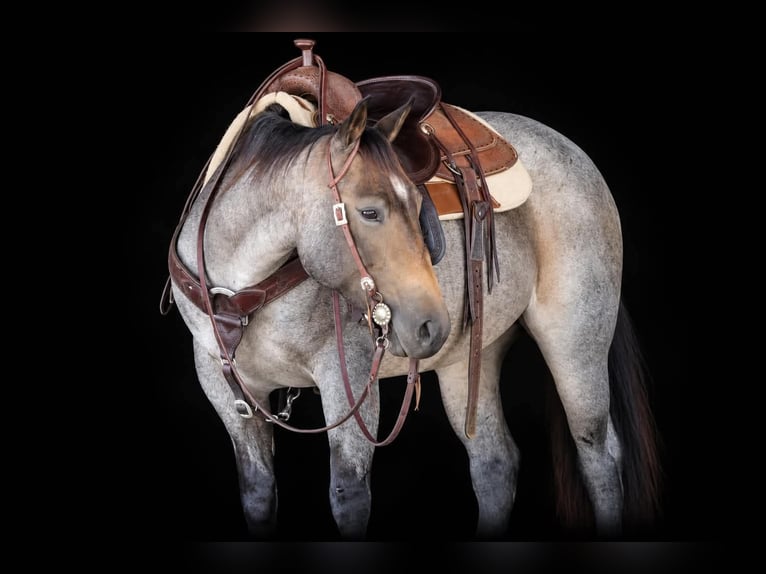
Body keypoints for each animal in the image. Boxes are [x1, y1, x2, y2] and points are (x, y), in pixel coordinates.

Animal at [164, 87, 660, 539]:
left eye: (420, 206)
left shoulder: (346, 379)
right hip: (470, 359)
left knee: (598, 455)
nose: (430, 325)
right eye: (369, 212)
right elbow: (258, 493)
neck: (241, 287)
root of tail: (576, 155)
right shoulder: (226, 392)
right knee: (494, 463)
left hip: (575, 349)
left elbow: (348, 495)